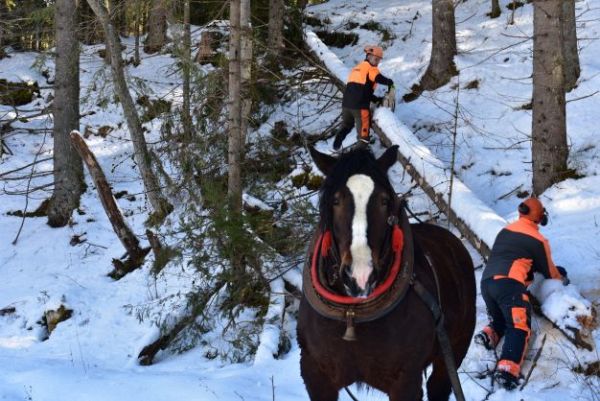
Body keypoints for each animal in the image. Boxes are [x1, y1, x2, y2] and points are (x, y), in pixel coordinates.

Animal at [298, 145, 476, 400]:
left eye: (384, 200)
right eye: (335, 200)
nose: (360, 276)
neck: (352, 315)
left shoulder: (406, 383)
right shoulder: (316, 378)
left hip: (451, 354)